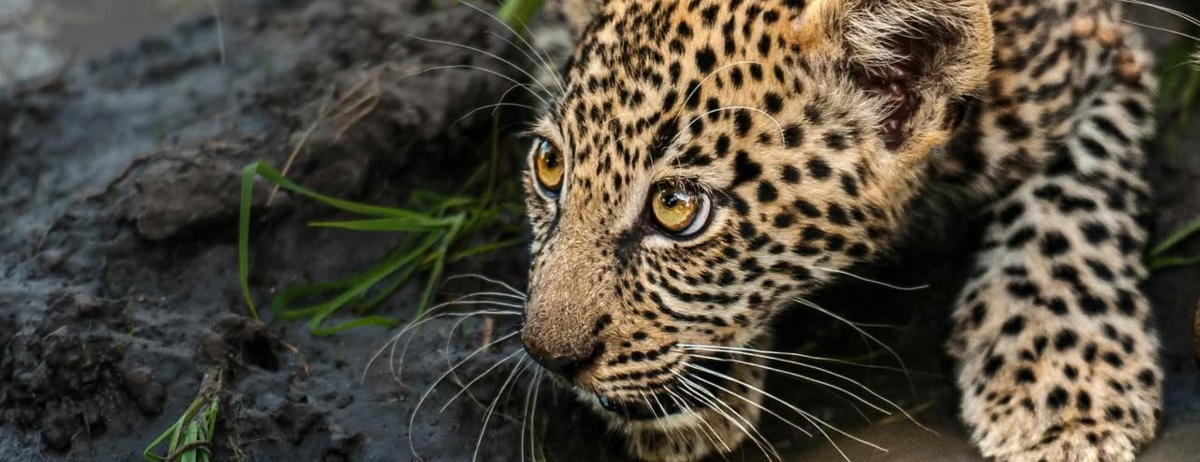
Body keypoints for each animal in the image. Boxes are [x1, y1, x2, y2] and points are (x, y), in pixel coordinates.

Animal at [516, 0, 1165, 461]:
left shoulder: (1105, 50)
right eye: (549, 164)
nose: (549, 357)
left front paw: (1064, 387)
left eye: (676, 207)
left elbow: (1072, 203)